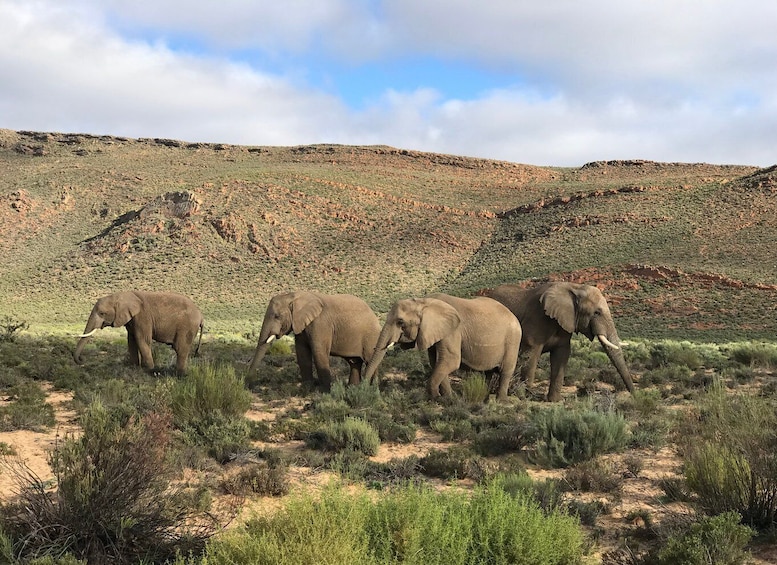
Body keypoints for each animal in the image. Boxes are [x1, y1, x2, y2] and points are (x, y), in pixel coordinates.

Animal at [249, 290, 382, 388]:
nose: (248, 383)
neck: (294, 296)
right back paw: (353, 389)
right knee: (354, 362)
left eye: (277, 316)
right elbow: (302, 354)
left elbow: (319, 352)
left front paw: (326, 392)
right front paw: (307, 390)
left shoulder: (320, 323)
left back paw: (372, 389)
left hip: (371, 337)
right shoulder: (301, 325)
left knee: (369, 360)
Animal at [364, 290, 520, 400]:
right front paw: (449, 397)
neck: (423, 302)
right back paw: (486, 398)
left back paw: (500, 401)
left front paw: (436, 397)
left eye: (400, 322)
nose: (363, 387)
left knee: (505, 371)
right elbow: (437, 362)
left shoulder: (453, 330)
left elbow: (450, 360)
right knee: (488, 372)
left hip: (513, 340)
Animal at [482, 282, 632, 400]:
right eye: (597, 313)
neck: (575, 287)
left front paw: (554, 400)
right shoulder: (536, 318)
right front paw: (525, 397)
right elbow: (532, 355)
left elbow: (561, 356)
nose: (634, 394)